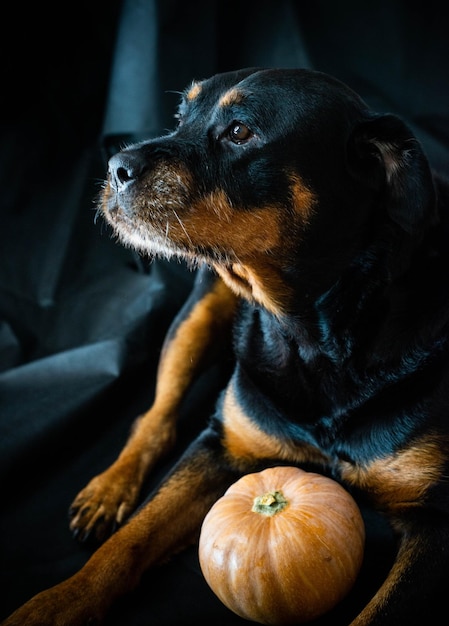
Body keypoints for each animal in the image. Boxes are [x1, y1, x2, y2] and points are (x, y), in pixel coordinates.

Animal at [3, 68, 448, 624]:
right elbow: (130, 539)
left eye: (239, 131)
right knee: (155, 417)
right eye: (179, 118)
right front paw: (56, 603)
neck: (317, 333)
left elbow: (377, 614)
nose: (115, 167)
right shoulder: (219, 444)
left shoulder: (436, 524)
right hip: (198, 309)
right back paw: (108, 489)